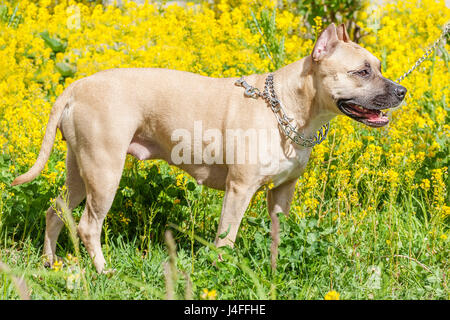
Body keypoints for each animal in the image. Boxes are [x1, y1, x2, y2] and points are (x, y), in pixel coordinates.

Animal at [10, 23, 406, 272]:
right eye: (362, 72)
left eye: (379, 66)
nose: (402, 91)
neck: (287, 109)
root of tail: (77, 86)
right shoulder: (239, 189)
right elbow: (225, 239)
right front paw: (222, 271)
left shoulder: (281, 193)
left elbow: (277, 235)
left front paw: (274, 268)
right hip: (104, 172)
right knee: (88, 226)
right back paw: (102, 270)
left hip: (80, 173)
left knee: (55, 211)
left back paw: (50, 262)